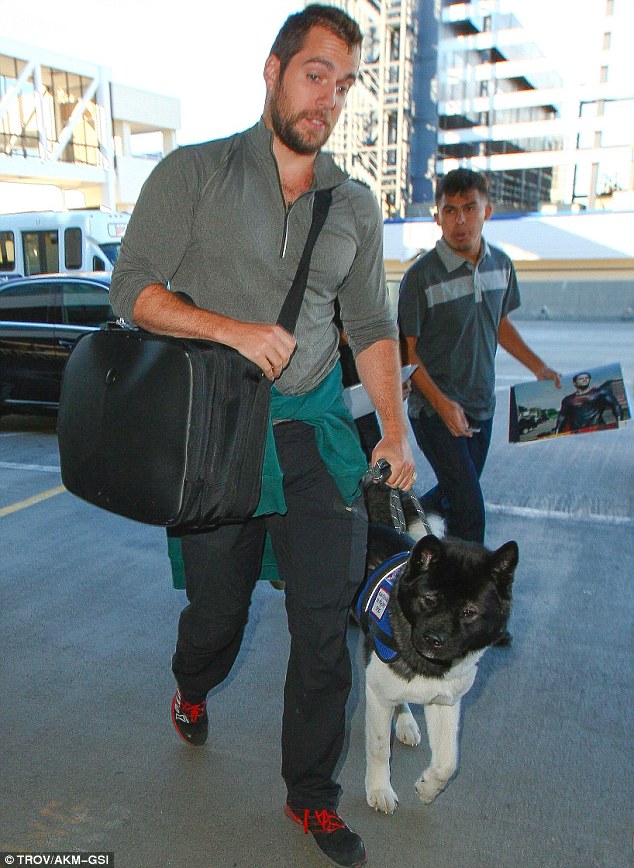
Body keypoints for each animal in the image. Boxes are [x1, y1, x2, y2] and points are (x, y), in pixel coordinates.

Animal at [354, 512, 516, 812]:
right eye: (429, 599)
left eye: (469, 612)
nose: (434, 640)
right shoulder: (378, 693)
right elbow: (380, 748)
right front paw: (380, 789)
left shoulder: (445, 700)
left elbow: (448, 762)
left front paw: (429, 788)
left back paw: (406, 722)